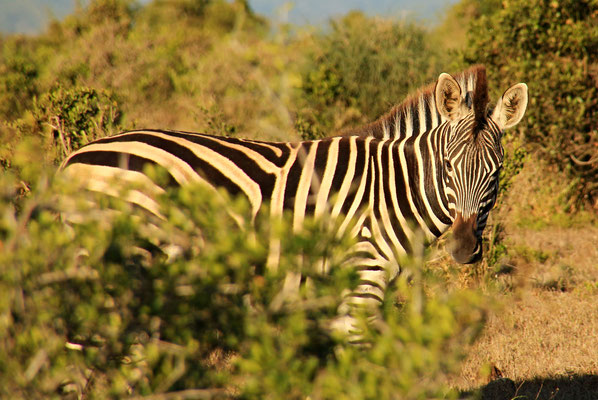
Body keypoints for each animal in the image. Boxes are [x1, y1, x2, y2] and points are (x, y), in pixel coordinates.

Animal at [59, 65, 528, 340]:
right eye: (448, 166)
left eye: (497, 171)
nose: (463, 249)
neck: (391, 190)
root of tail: (72, 159)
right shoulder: (362, 279)